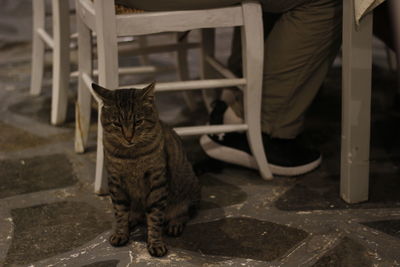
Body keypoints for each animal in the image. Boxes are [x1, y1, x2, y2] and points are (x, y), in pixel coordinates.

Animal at [92, 82, 202, 258]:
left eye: (138, 122)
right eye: (117, 124)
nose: (128, 137)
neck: (131, 156)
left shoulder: (157, 182)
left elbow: (155, 216)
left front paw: (155, 243)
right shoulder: (115, 181)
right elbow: (120, 211)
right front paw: (121, 233)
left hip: (188, 189)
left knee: (185, 212)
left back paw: (175, 224)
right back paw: (132, 218)